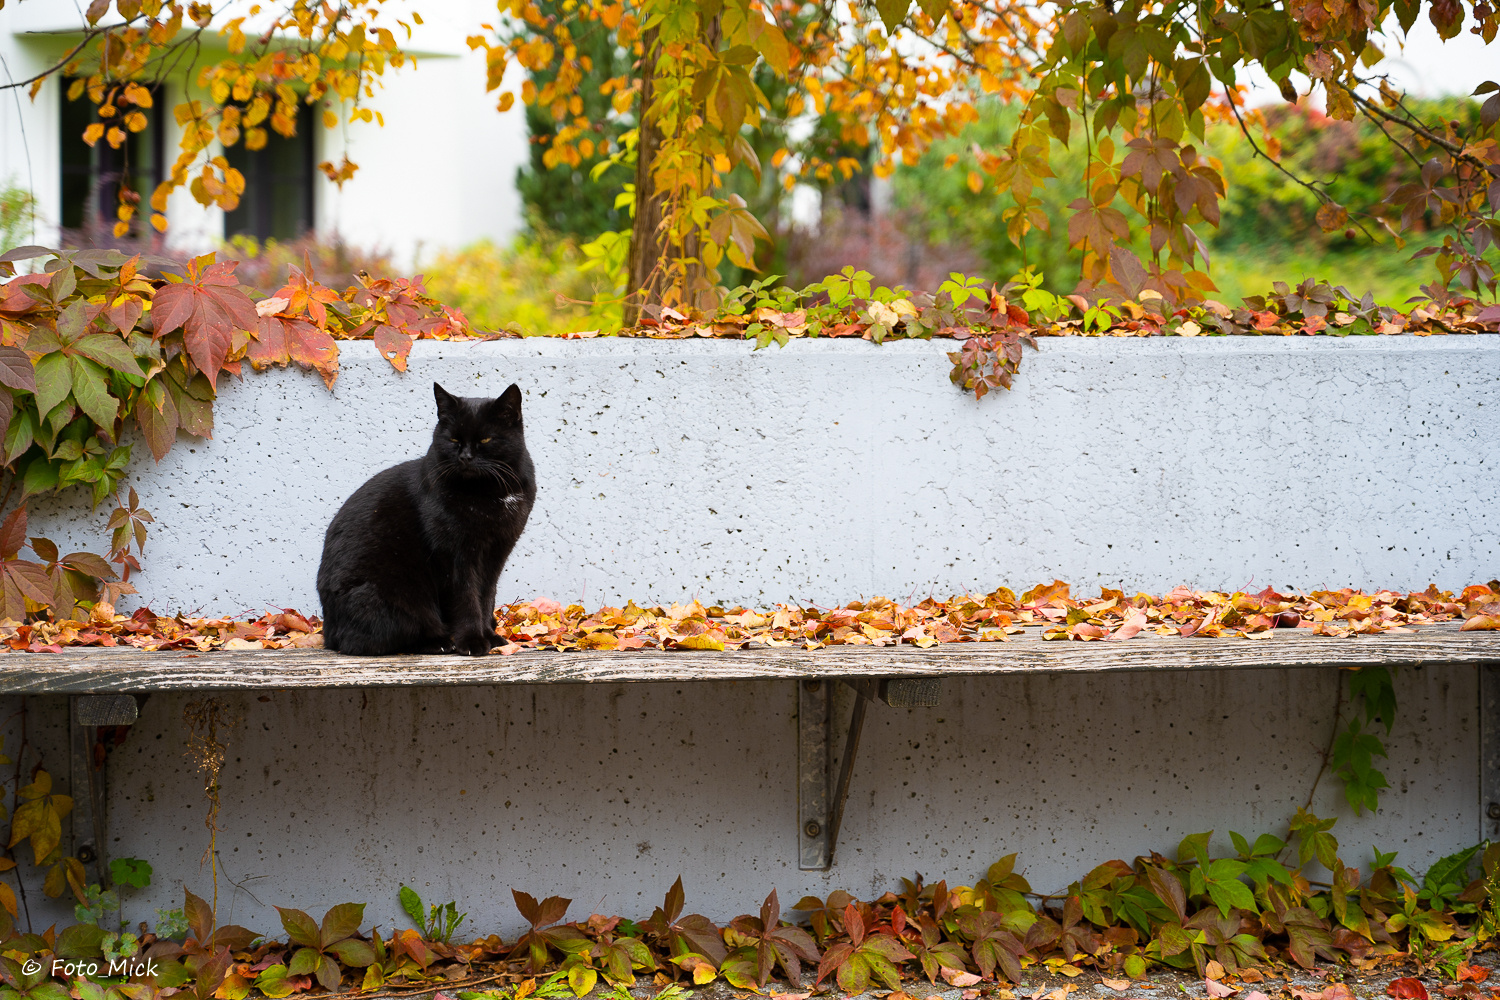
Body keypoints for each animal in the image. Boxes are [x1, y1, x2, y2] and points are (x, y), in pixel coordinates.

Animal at [313, 383, 537, 656]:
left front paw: (490, 637)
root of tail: (328, 632)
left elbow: (486, 596)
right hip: (397, 595)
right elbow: (467, 598)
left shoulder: (497, 551)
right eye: (453, 439)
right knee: (372, 641)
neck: (488, 492)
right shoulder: (455, 555)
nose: (465, 457)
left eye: (485, 439)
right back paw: (441, 642)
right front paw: (472, 641)